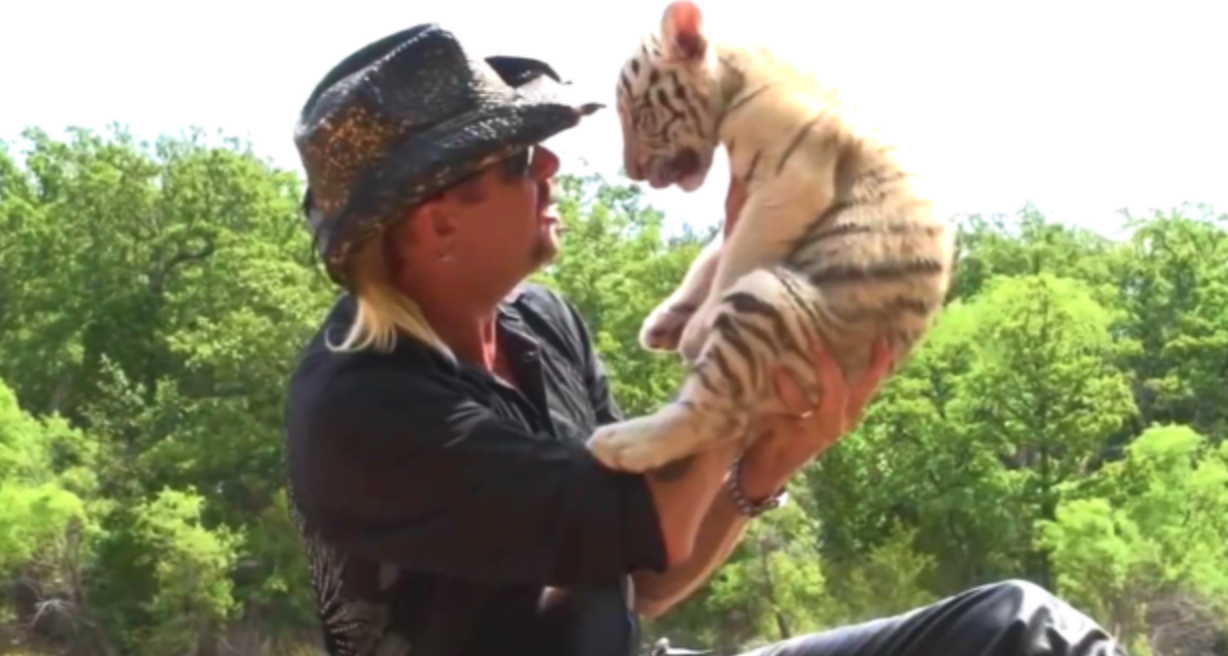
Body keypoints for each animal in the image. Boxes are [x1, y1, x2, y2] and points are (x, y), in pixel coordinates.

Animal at [585, 0, 956, 473]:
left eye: (639, 115)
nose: (633, 172)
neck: (734, 81)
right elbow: (711, 255)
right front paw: (667, 318)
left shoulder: (791, 179)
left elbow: (738, 252)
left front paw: (695, 328)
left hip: (770, 304)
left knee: (714, 413)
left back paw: (622, 443)